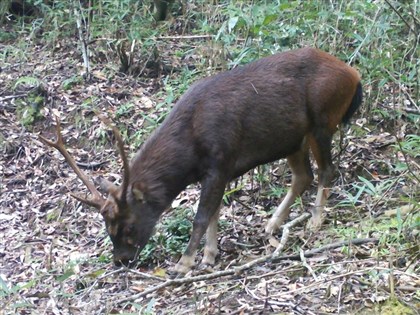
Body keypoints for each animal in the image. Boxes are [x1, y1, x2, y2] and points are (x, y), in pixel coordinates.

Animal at [40, 48, 360, 276]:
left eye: (129, 226)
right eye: (107, 228)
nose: (121, 260)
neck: (189, 152)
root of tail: (355, 76)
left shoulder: (221, 161)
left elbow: (201, 216)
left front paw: (184, 263)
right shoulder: (215, 171)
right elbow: (214, 213)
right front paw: (209, 256)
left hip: (323, 118)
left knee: (326, 169)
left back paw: (315, 220)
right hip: (292, 138)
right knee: (303, 176)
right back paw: (271, 225)